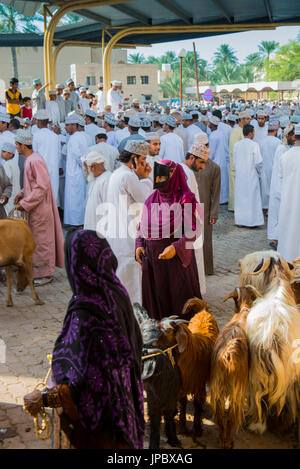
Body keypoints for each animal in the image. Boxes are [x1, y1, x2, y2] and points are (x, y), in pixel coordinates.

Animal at [133, 302, 180, 448]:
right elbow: (155, 423)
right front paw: (154, 444)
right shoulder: (154, 402)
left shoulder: (172, 399)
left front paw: (173, 438)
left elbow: (170, 416)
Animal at [152, 298, 218, 436]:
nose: (150, 343)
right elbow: (182, 402)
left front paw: (197, 429)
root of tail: (203, 310)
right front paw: (182, 427)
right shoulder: (182, 385)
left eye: (167, 331)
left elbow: (197, 404)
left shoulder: (198, 384)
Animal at [210, 284, 262, 448]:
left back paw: (222, 441)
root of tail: (228, 356)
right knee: (232, 414)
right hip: (237, 388)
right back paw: (229, 442)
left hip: (217, 387)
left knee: (220, 414)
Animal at [245, 276, 300, 434]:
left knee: (259, 399)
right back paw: (282, 426)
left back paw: (257, 425)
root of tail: (271, 341)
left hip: (256, 374)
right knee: (285, 399)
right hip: (288, 375)